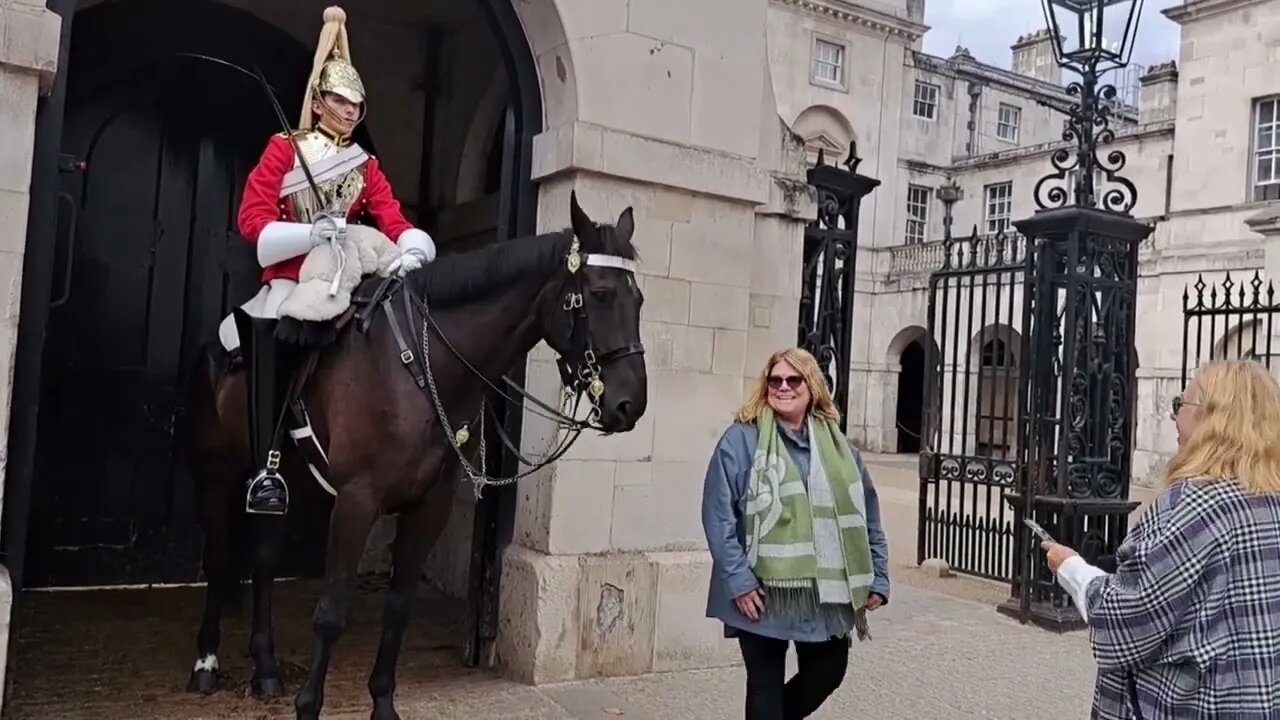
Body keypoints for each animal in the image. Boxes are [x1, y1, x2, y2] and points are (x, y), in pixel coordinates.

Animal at [180, 192, 650, 717]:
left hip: (284, 481)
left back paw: (265, 669)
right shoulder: (357, 500)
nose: (630, 404)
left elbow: (400, 606)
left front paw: (383, 703)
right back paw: (206, 662)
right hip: (216, 475)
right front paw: (309, 706)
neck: (420, 368)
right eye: (600, 294)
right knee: (220, 557)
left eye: (639, 299)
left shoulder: (429, 506)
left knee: (263, 560)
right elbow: (332, 612)